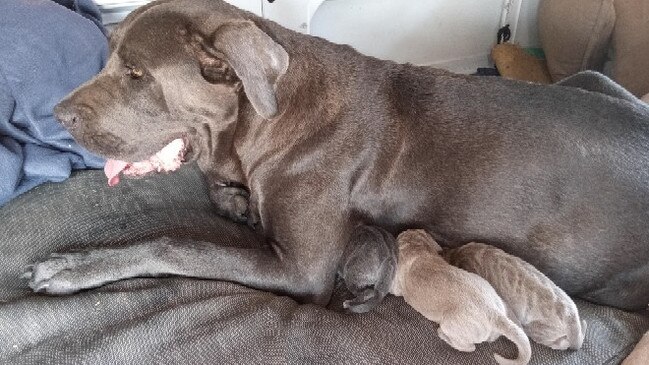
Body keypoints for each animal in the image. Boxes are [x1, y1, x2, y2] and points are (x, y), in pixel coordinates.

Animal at [26, 0, 648, 310]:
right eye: (110, 58)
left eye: (137, 74)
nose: (57, 115)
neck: (264, 119)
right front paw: (235, 198)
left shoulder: (300, 269)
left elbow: (177, 244)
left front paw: (77, 266)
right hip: (595, 79)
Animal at [390, 230, 532, 364]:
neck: (418, 249)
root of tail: (494, 314)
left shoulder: (397, 286)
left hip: (450, 324)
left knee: (469, 347)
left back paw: (444, 336)